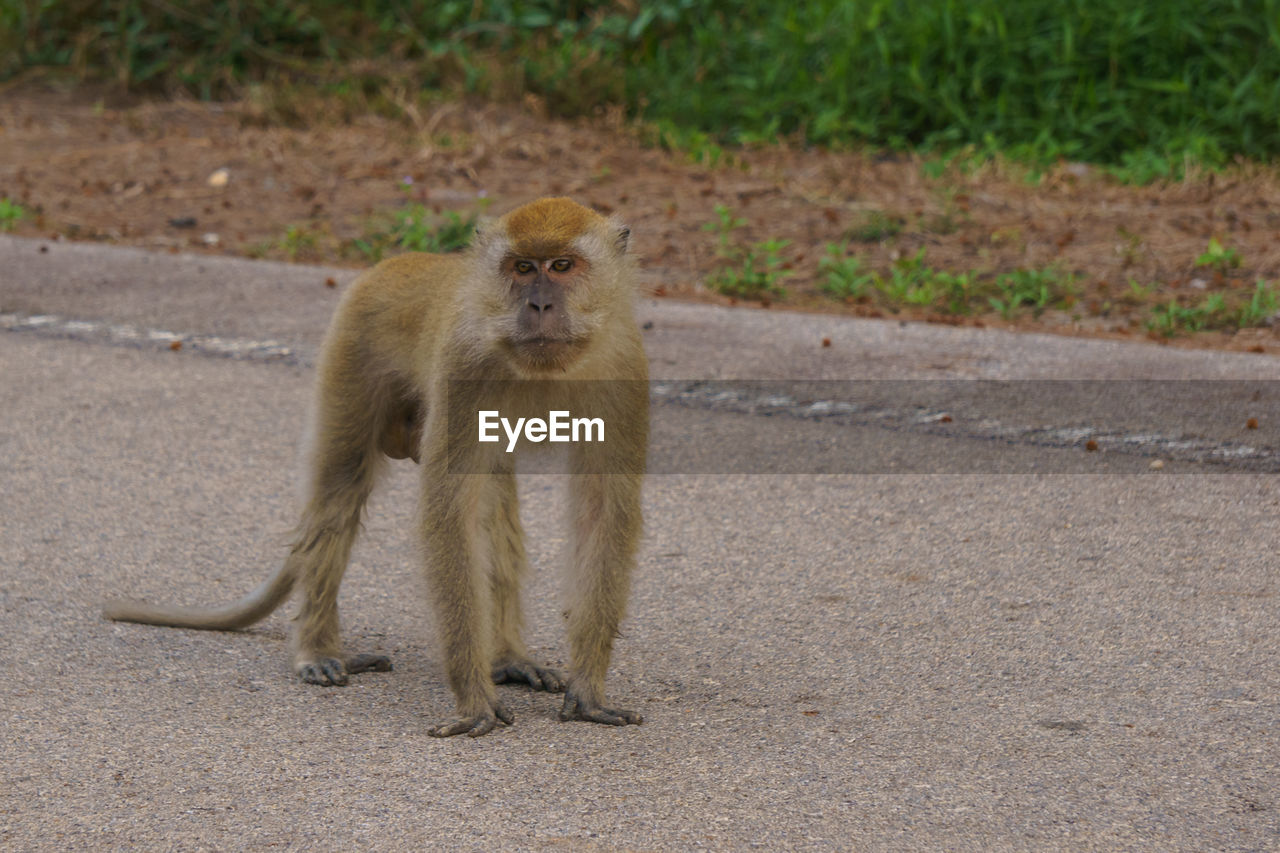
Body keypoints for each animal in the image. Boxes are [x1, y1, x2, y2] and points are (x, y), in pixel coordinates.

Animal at [106, 199, 650, 737]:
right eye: (521, 268)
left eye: (562, 266)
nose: (538, 306)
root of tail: (394, 264)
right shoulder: (463, 364)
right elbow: (448, 516)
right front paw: (474, 698)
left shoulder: (623, 363)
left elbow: (603, 508)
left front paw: (588, 689)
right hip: (351, 350)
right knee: (340, 489)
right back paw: (318, 649)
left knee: (493, 498)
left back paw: (508, 659)